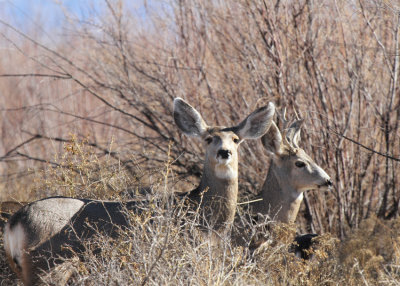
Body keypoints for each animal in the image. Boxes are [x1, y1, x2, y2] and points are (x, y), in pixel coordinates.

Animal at [3, 98, 276, 284]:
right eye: (208, 139)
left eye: (236, 140)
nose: (224, 152)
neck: (205, 218)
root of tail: (16, 221)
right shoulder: (186, 256)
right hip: (49, 266)